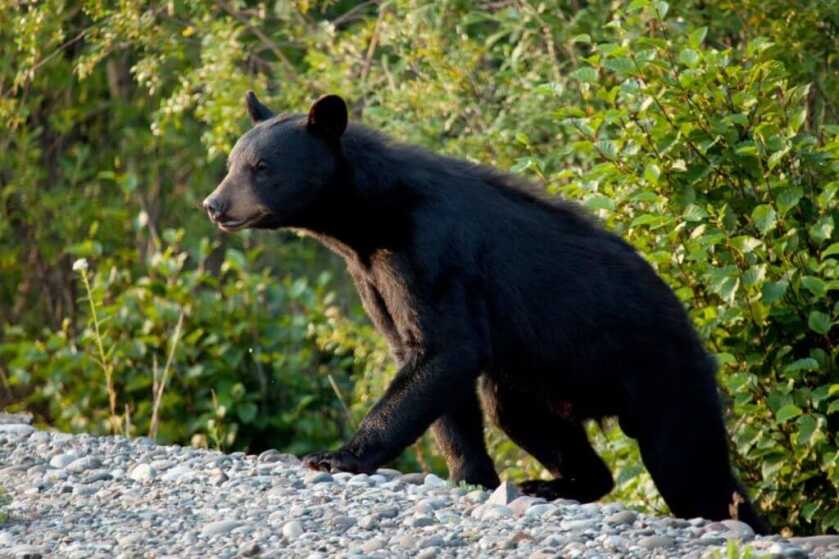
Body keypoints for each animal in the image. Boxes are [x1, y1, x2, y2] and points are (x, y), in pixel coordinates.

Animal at [202, 92, 769, 533]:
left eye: (262, 168)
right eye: (232, 163)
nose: (214, 204)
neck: (366, 224)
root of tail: (694, 333)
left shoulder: (431, 251)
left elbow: (445, 350)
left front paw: (337, 455)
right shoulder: (374, 278)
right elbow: (430, 369)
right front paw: (471, 476)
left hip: (659, 373)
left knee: (690, 465)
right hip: (542, 379)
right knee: (522, 416)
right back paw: (554, 484)